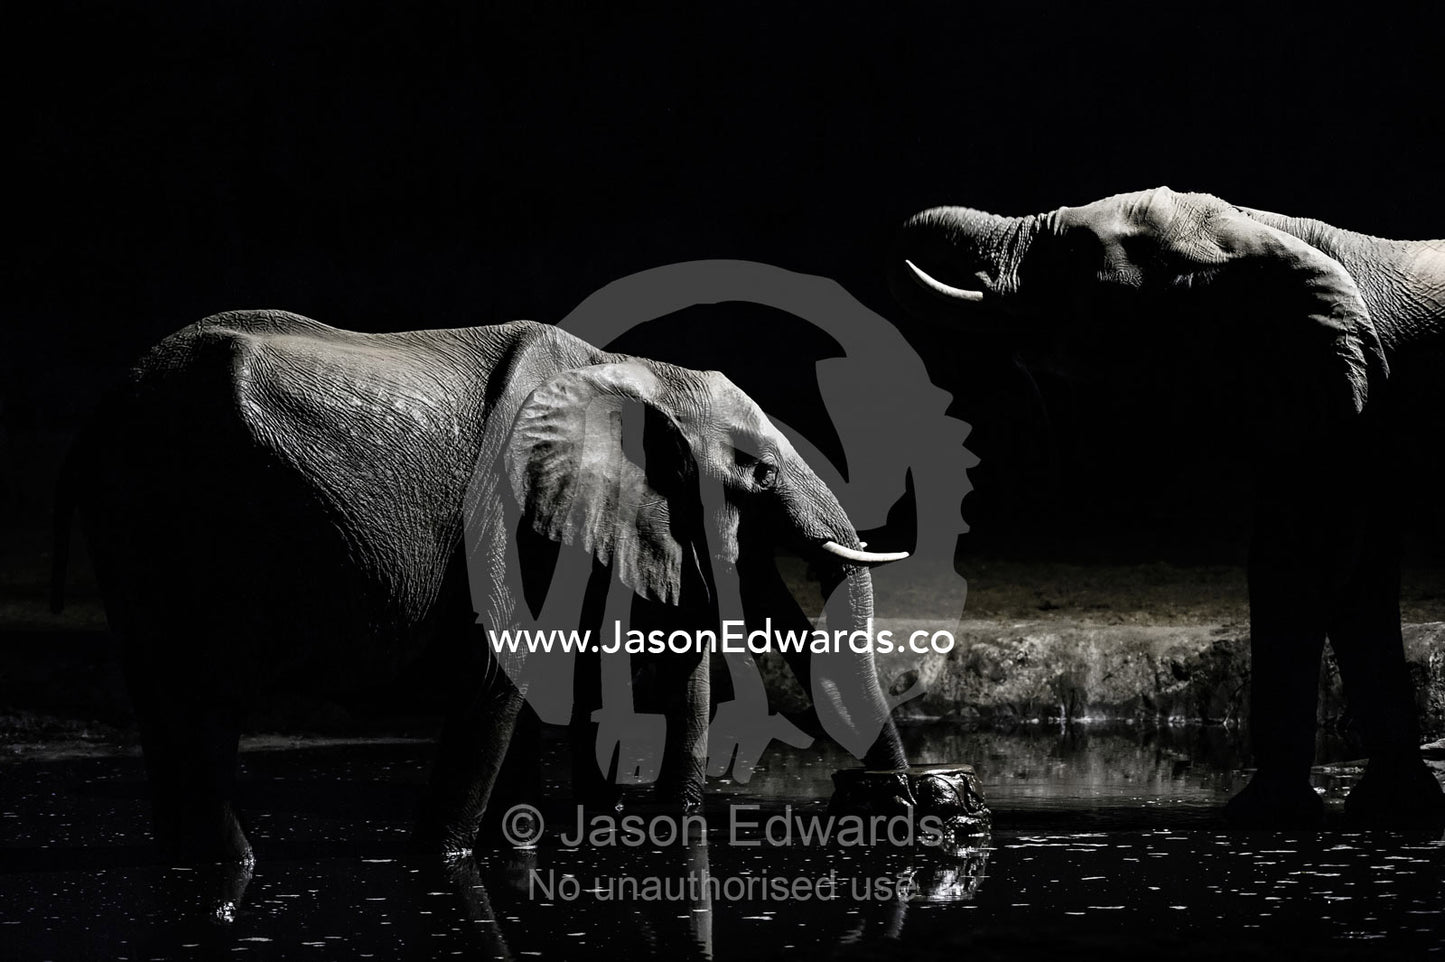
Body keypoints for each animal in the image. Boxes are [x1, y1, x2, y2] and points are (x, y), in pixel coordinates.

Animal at [53, 310, 911, 862]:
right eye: (757, 475)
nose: (899, 804)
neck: (636, 375)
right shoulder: (510, 506)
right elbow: (501, 678)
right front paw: (448, 861)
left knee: (173, 703)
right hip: (183, 513)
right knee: (196, 701)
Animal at [893, 186, 1445, 826]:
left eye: (1073, 253)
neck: (1260, 229)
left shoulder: (1347, 403)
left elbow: (1293, 565)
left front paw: (1258, 817)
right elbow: (1361, 577)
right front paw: (1396, 807)